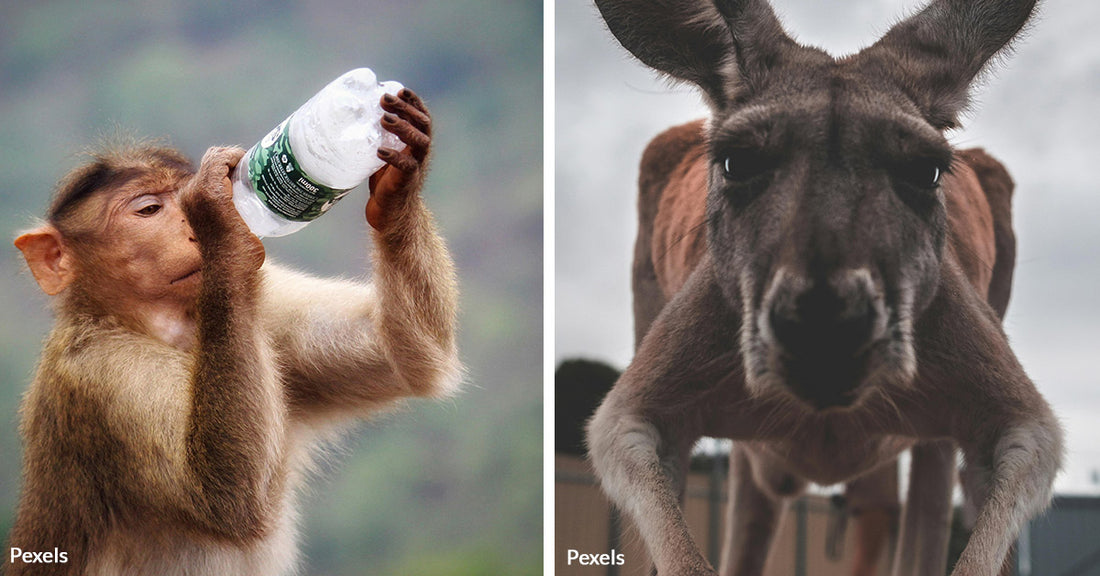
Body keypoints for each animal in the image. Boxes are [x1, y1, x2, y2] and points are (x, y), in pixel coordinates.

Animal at [5, 88, 460, 576]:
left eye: (176, 197)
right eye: (149, 209)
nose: (189, 228)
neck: (165, 329)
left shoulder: (267, 300)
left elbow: (405, 357)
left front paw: (398, 180)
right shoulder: (99, 373)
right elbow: (226, 494)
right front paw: (218, 216)